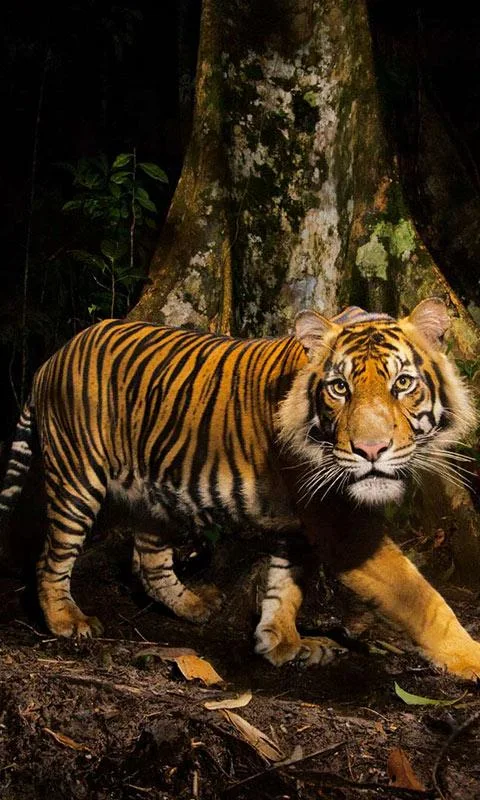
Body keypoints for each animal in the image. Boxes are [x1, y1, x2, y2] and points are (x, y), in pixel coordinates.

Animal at [1, 297, 480, 680]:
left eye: (403, 383)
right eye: (339, 388)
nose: (370, 449)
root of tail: (53, 357)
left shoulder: (300, 523)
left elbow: (285, 587)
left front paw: (282, 643)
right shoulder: (340, 525)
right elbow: (422, 598)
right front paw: (468, 657)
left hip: (153, 495)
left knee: (150, 563)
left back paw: (194, 605)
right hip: (77, 480)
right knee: (50, 558)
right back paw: (67, 620)